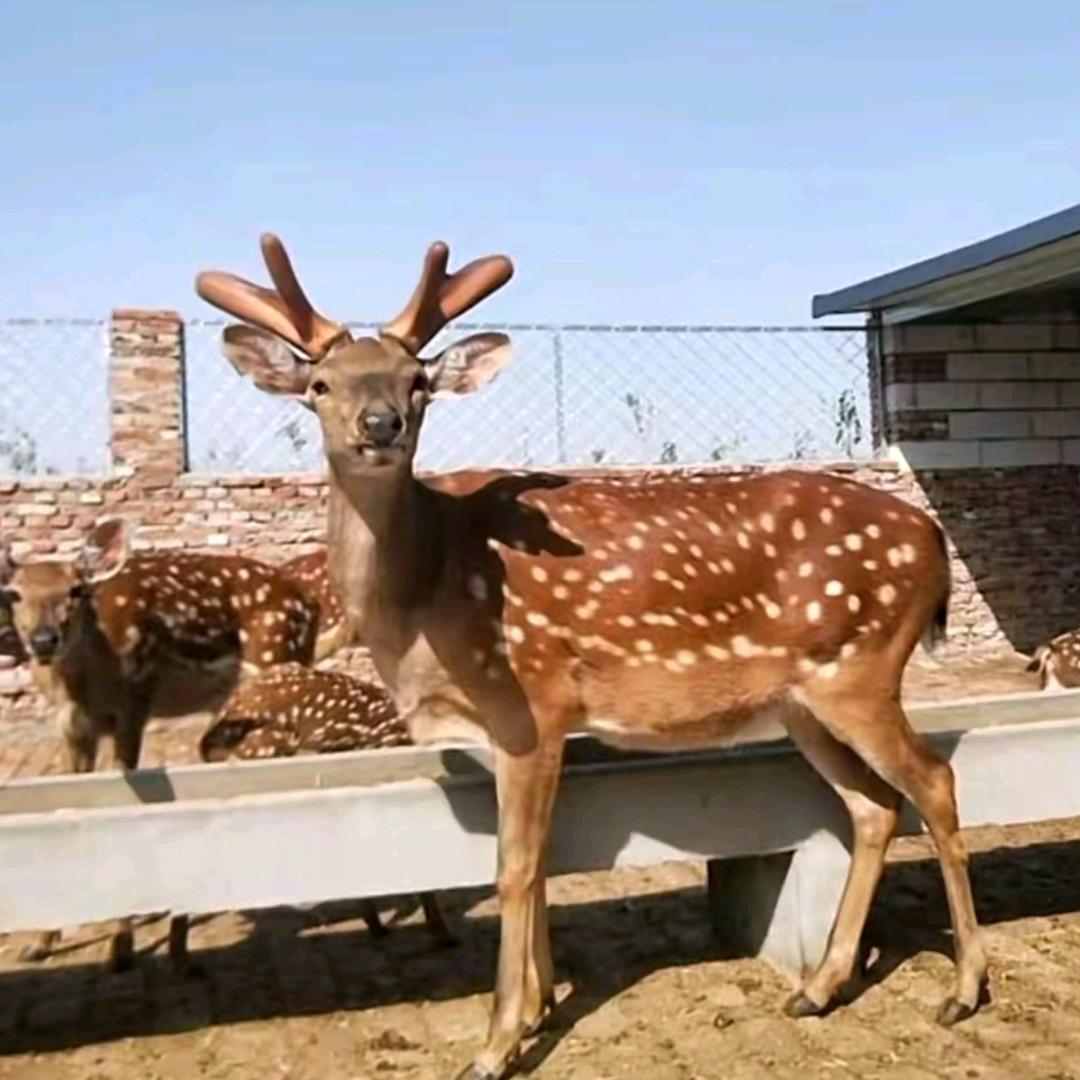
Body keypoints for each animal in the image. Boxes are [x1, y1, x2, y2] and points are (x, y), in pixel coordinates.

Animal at [0, 519, 322, 972]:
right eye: (13, 592)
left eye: (77, 589)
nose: (44, 640)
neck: (86, 686)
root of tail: (311, 602)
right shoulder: (70, 727)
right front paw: (40, 945)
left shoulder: (133, 706)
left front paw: (121, 949)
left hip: (277, 662)